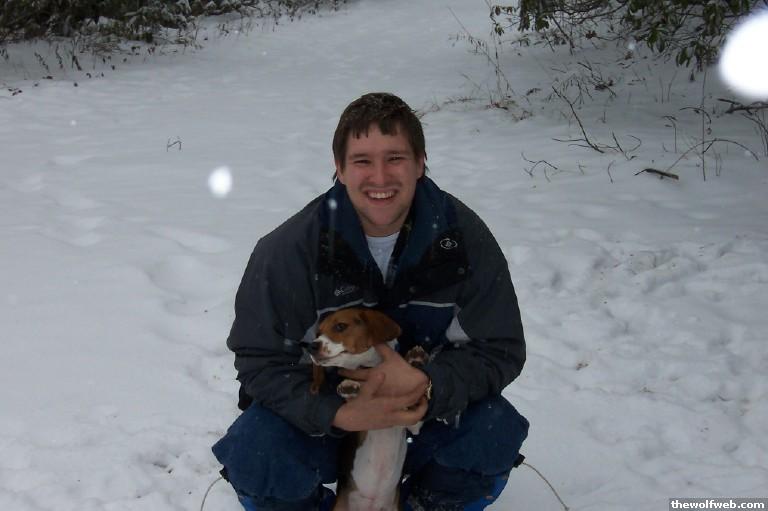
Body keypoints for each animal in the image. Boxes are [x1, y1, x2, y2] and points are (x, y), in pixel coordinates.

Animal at [309, 308, 427, 511]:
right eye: (318, 333)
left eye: (340, 326)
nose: (310, 346)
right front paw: (350, 387)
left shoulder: (414, 425)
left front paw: (415, 360)